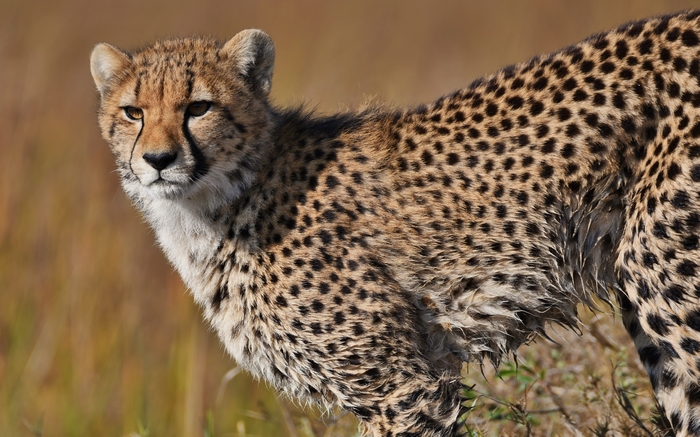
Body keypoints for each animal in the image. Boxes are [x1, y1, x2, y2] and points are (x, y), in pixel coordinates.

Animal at [90, 10, 700, 436]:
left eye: (198, 107)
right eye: (133, 112)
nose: (159, 159)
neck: (222, 201)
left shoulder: (403, 388)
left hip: (662, 275)